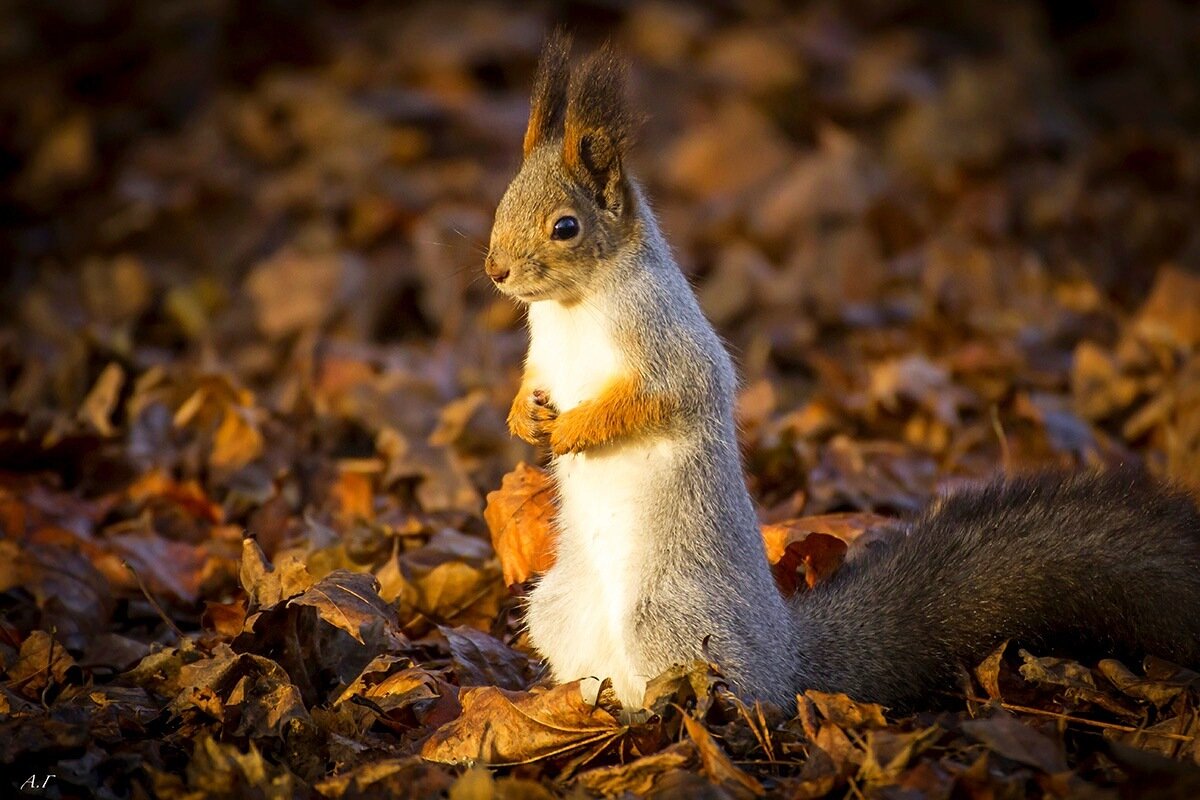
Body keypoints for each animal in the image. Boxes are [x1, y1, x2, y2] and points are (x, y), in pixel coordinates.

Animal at [484, 35, 1200, 714]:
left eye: (566, 227)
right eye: (502, 203)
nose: (496, 271)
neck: (574, 307)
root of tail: (786, 657)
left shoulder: (665, 338)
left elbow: (663, 396)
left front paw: (576, 430)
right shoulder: (543, 351)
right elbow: (532, 379)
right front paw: (524, 416)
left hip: (669, 616)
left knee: (729, 689)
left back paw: (668, 704)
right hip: (557, 609)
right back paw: (565, 703)